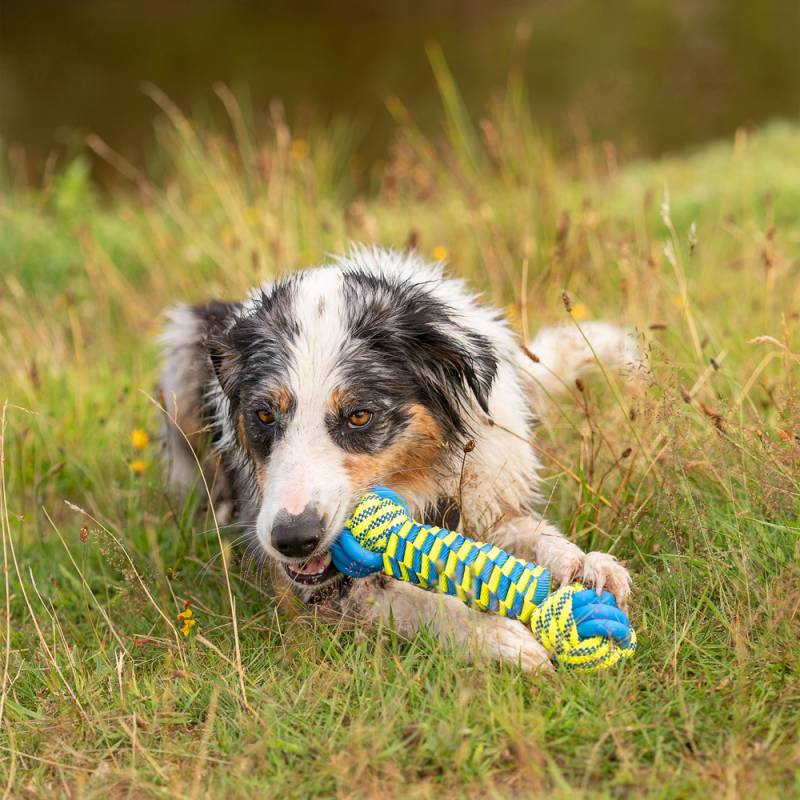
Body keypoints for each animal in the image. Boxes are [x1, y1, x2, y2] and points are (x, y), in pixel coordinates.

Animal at [159, 247, 640, 672]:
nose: (294, 540)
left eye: (359, 415)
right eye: (263, 414)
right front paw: (495, 634)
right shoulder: (327, 591)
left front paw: (585, 566)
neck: (420, 481)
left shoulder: (488, 495)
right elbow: (417, 602)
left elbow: (535, 534)